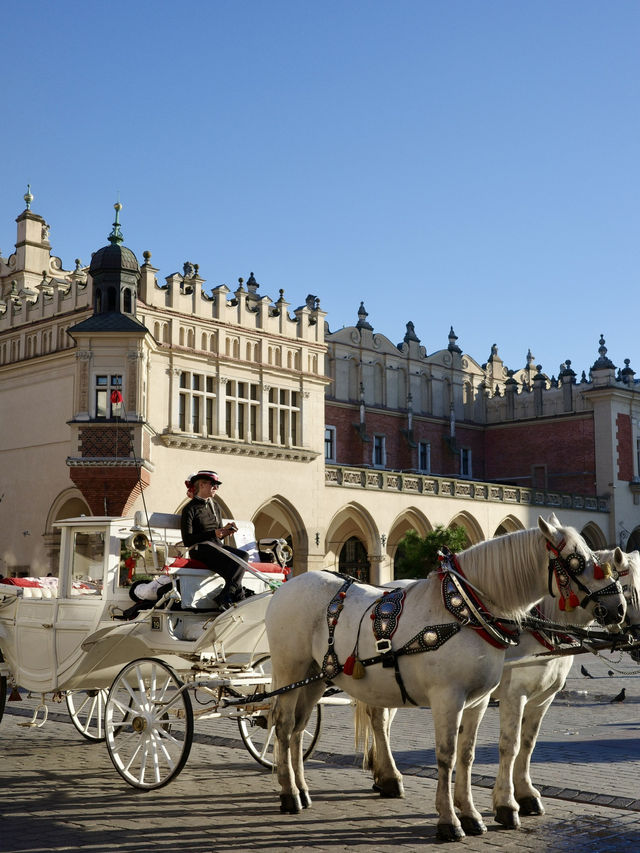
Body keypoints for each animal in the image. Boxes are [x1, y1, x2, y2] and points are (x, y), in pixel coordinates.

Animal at [266, 512, 624, 840]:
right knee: (283, 725)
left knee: (302, 728)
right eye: (577, 560)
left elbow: (472, 754)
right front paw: (454, 819)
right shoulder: (457, 698)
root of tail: (289, 585)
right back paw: (289, 794)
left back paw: (312, 788)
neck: (466, 611)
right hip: (289, 670)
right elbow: (453, 755)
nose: (618, 609)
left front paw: (472, 814)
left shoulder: (484, 700)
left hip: (317, 676)